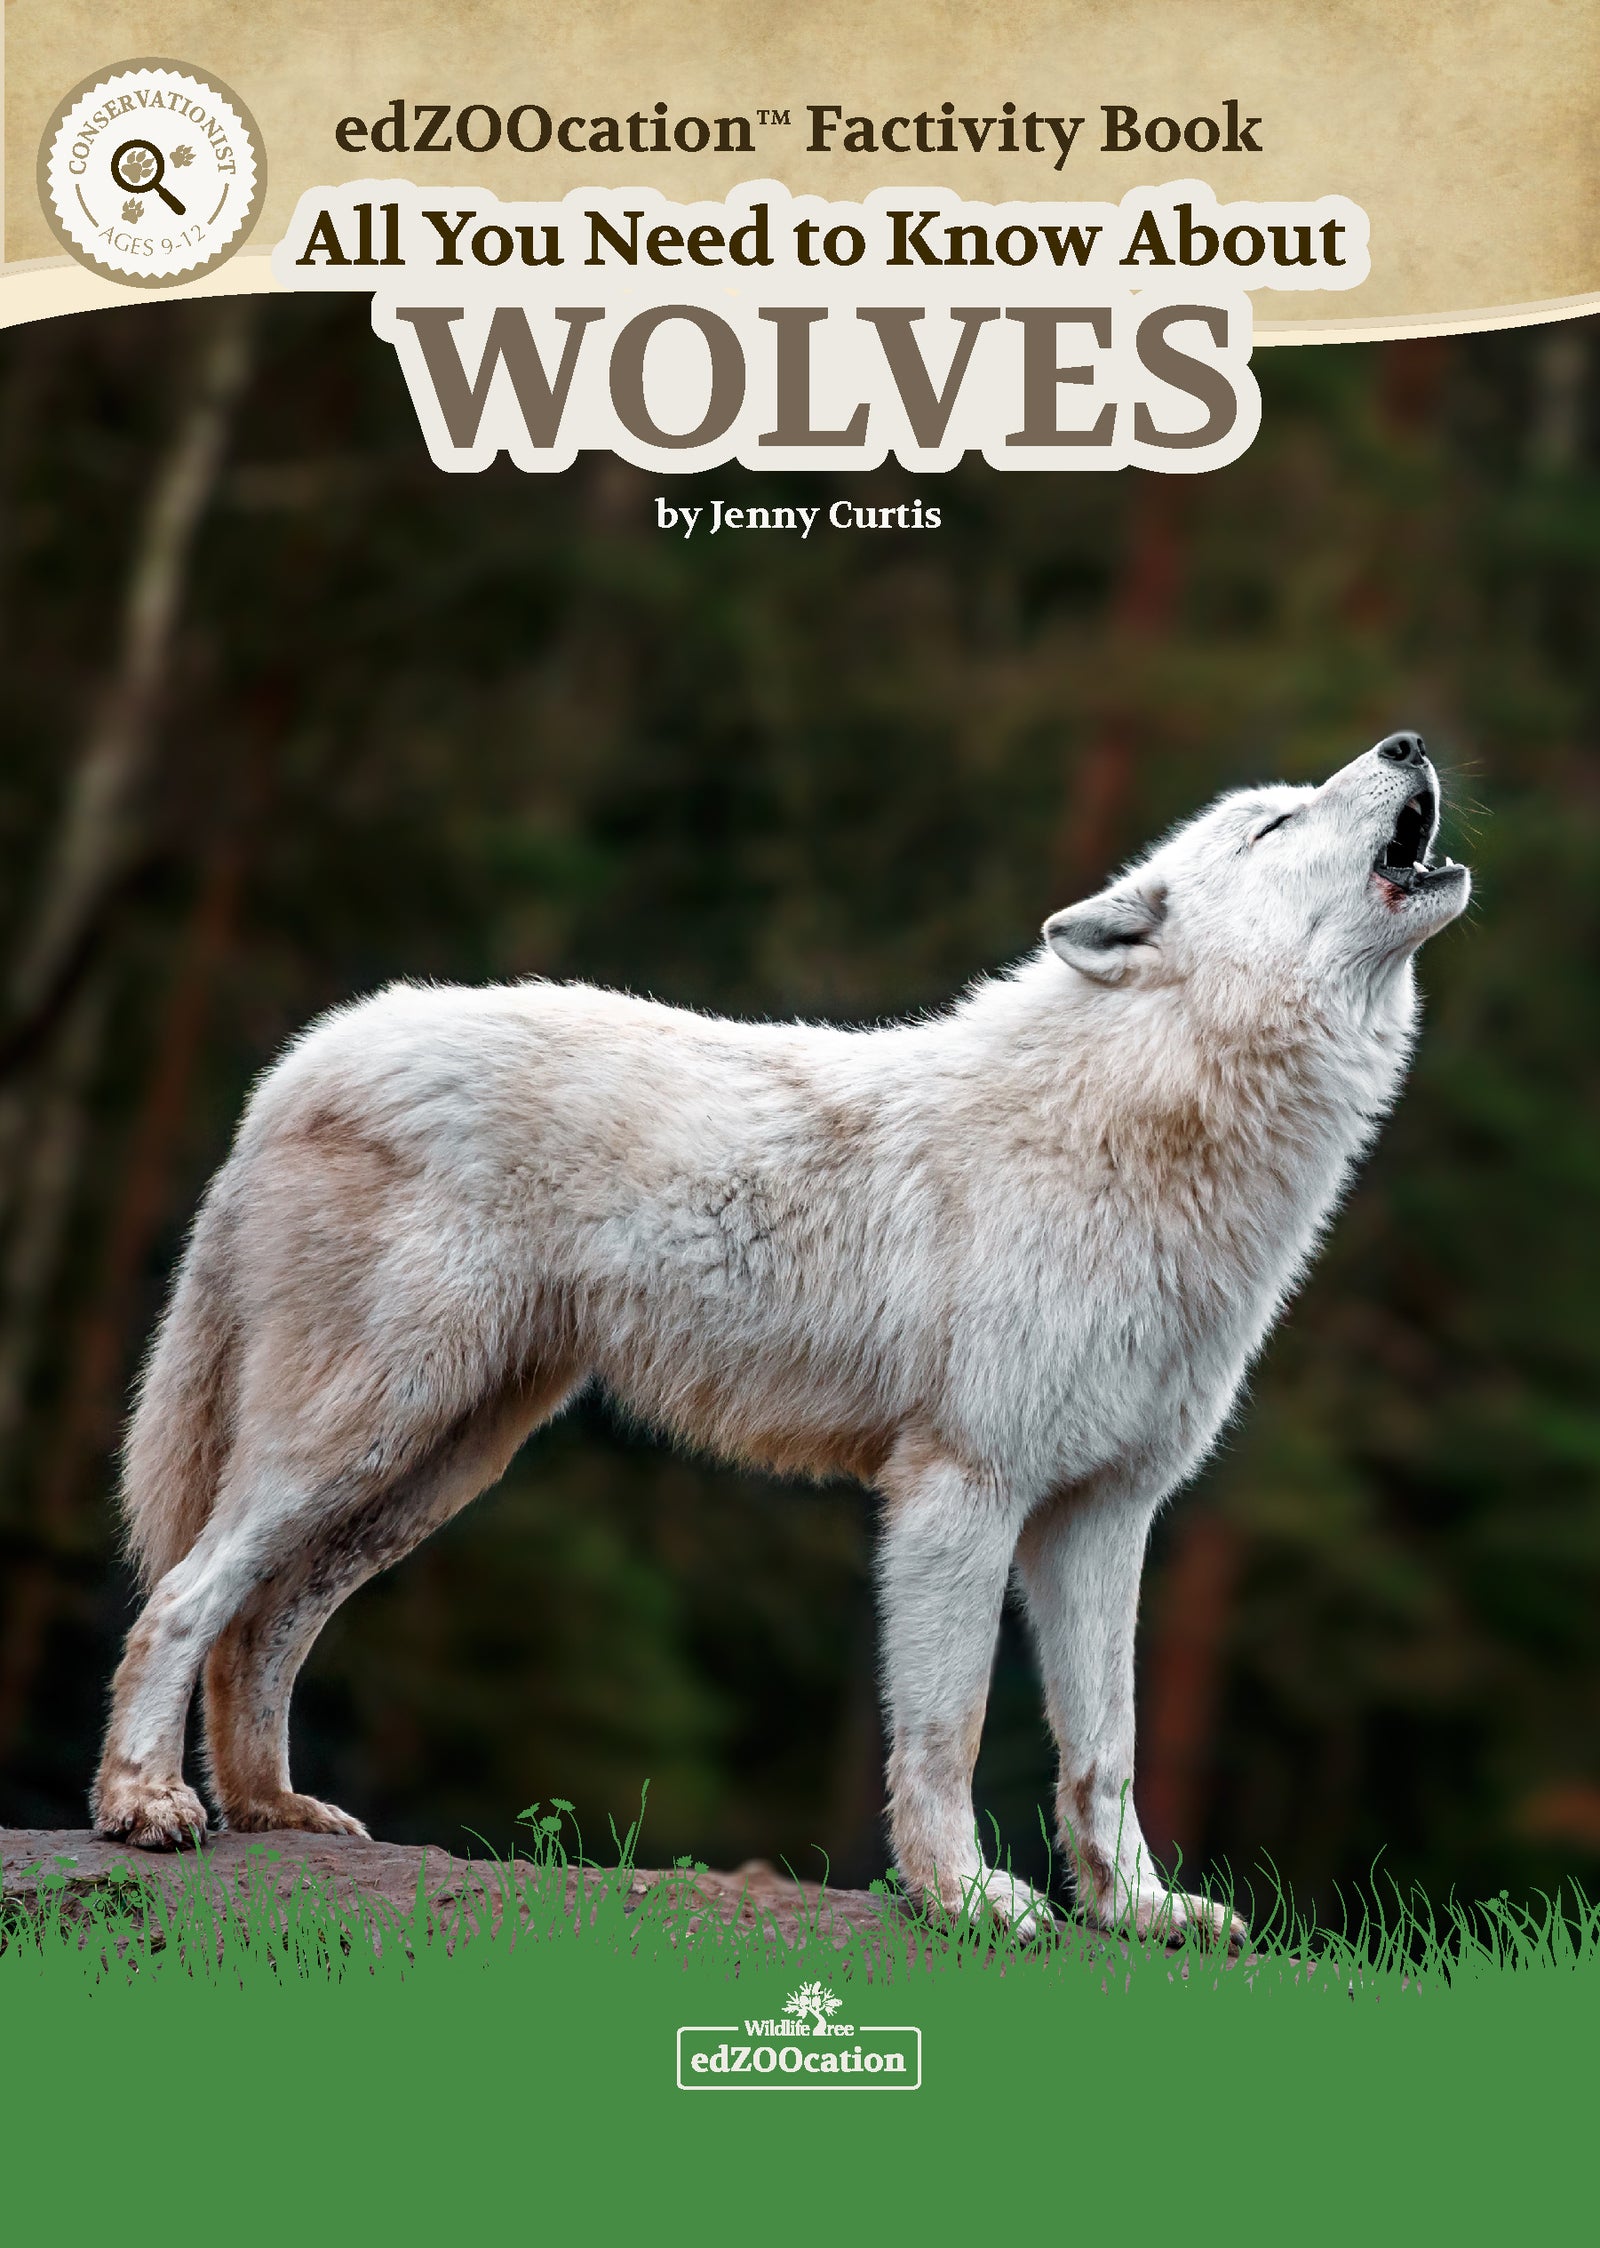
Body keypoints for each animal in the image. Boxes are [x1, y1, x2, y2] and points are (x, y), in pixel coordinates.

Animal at [92, 732, 1467, 1941]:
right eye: (1273, 824)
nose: (1407, 743)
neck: (1142, 1124)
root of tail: (305, 1055)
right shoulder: (959, 1490)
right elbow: (949, 1731)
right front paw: (965, 1900)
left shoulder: (1104, 1513)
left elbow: (1106, 1750)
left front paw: (1137, 1911)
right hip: (363, 1431)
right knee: (183, 1598)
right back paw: (145, 1804)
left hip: (435, 1465)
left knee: (261, 1623)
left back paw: (272, 1810)